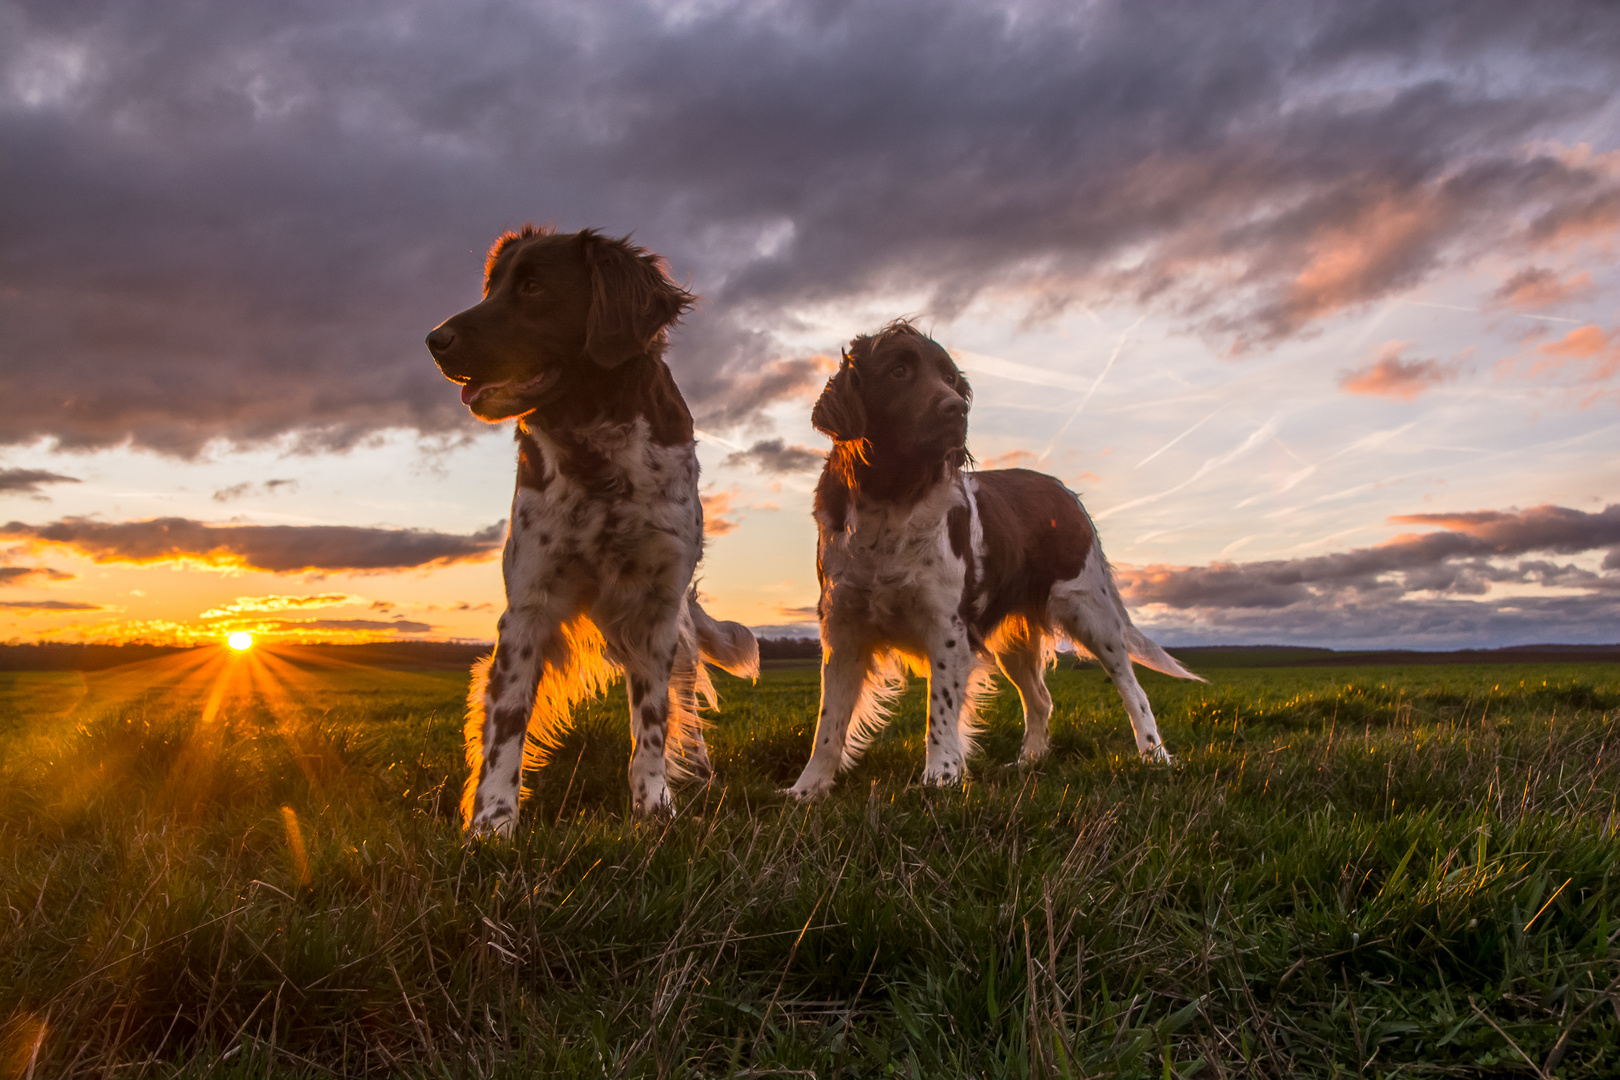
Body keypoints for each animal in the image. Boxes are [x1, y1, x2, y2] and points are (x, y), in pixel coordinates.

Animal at [430, 226, 758, 835]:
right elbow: (506, 725)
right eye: (491, 288)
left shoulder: (655, 609)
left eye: (534, 287)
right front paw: (492, 824)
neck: (596, 455)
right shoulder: (529, 606)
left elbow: (653, 721)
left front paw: (654, 808)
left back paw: (701, 774)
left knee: (685, 696)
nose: (434, 340)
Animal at [784, 317, 1205, 799]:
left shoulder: (948, 628)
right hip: (1016, 641)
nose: (956, 410)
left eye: (951, 379)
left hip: (1091, 612)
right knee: (1041, 699)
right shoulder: (843, 628)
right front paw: (807, 789)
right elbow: (828, 724)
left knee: (1134, 690)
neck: (892, 498)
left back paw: (1155, 757)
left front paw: (941, 777)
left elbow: (940, 712)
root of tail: (1066, 492)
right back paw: (1029, 761)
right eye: (898, 371)